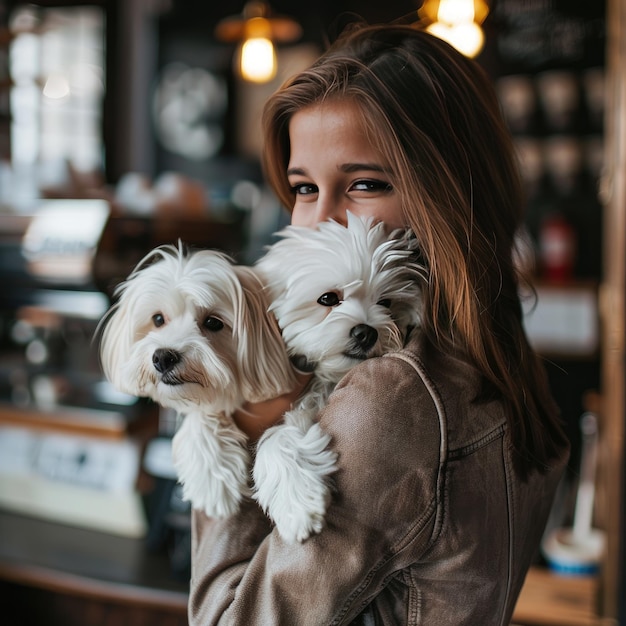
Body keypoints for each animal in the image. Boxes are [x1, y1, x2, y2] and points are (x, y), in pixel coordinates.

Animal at [252, 214, 424, 540]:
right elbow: (275, 436)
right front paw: (298, 504)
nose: (366, 332)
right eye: (328, 298)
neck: (330, 378)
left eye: (386, 303)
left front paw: (298, 504)